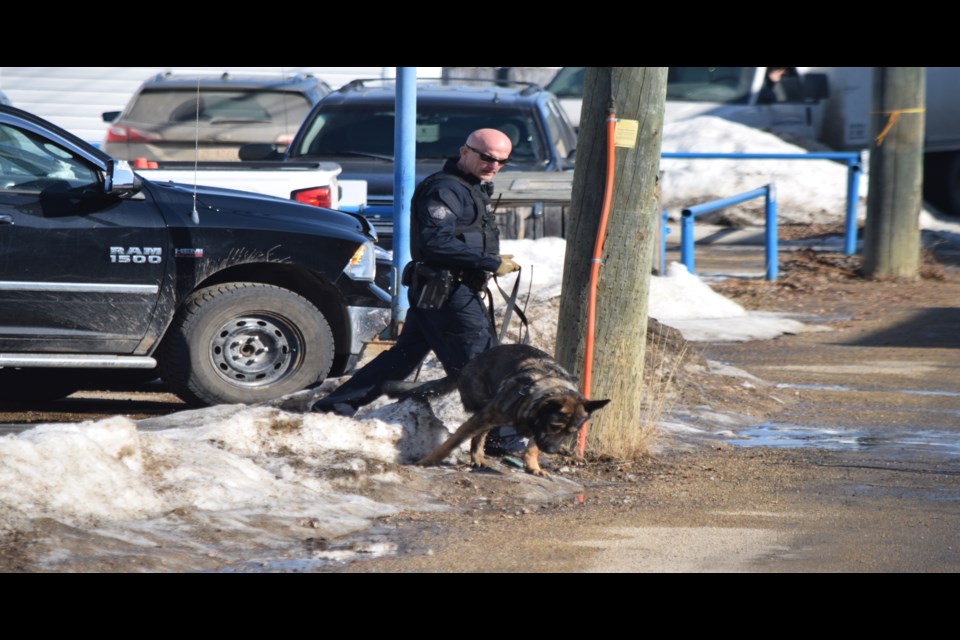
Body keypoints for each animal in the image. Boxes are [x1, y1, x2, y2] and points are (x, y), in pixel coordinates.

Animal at [416, 344, 612, 476]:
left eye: (571, 432)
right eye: (554, 426)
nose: (552, 450)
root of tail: (467, 366)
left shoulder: (537, 429)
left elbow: (533, 447)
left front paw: (533, 467)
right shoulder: (487, 416)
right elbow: (451, 442)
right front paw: (427, 460)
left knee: (480, 436)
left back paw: (478, 458)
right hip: (483, 408)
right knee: (479, 434)